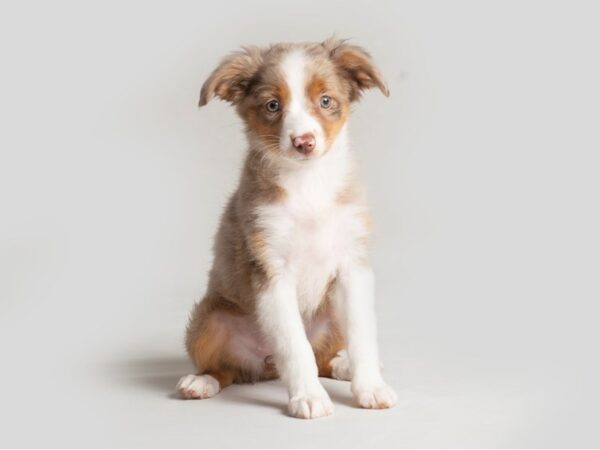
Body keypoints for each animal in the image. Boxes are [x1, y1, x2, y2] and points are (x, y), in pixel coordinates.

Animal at [176, 36, 396, 418]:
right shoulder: (271, 270)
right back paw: (200, 382)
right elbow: (295, 346)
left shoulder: (352, 268)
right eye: (272, 106)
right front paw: (308, 397)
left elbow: (362, 334)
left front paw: (370, 387)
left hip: (330, 311)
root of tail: (266, 366)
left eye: (326, 101)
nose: (303, 142)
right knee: (226, 369)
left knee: (324, 356)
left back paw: (344, 365)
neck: (309, 185)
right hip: (210, 316)